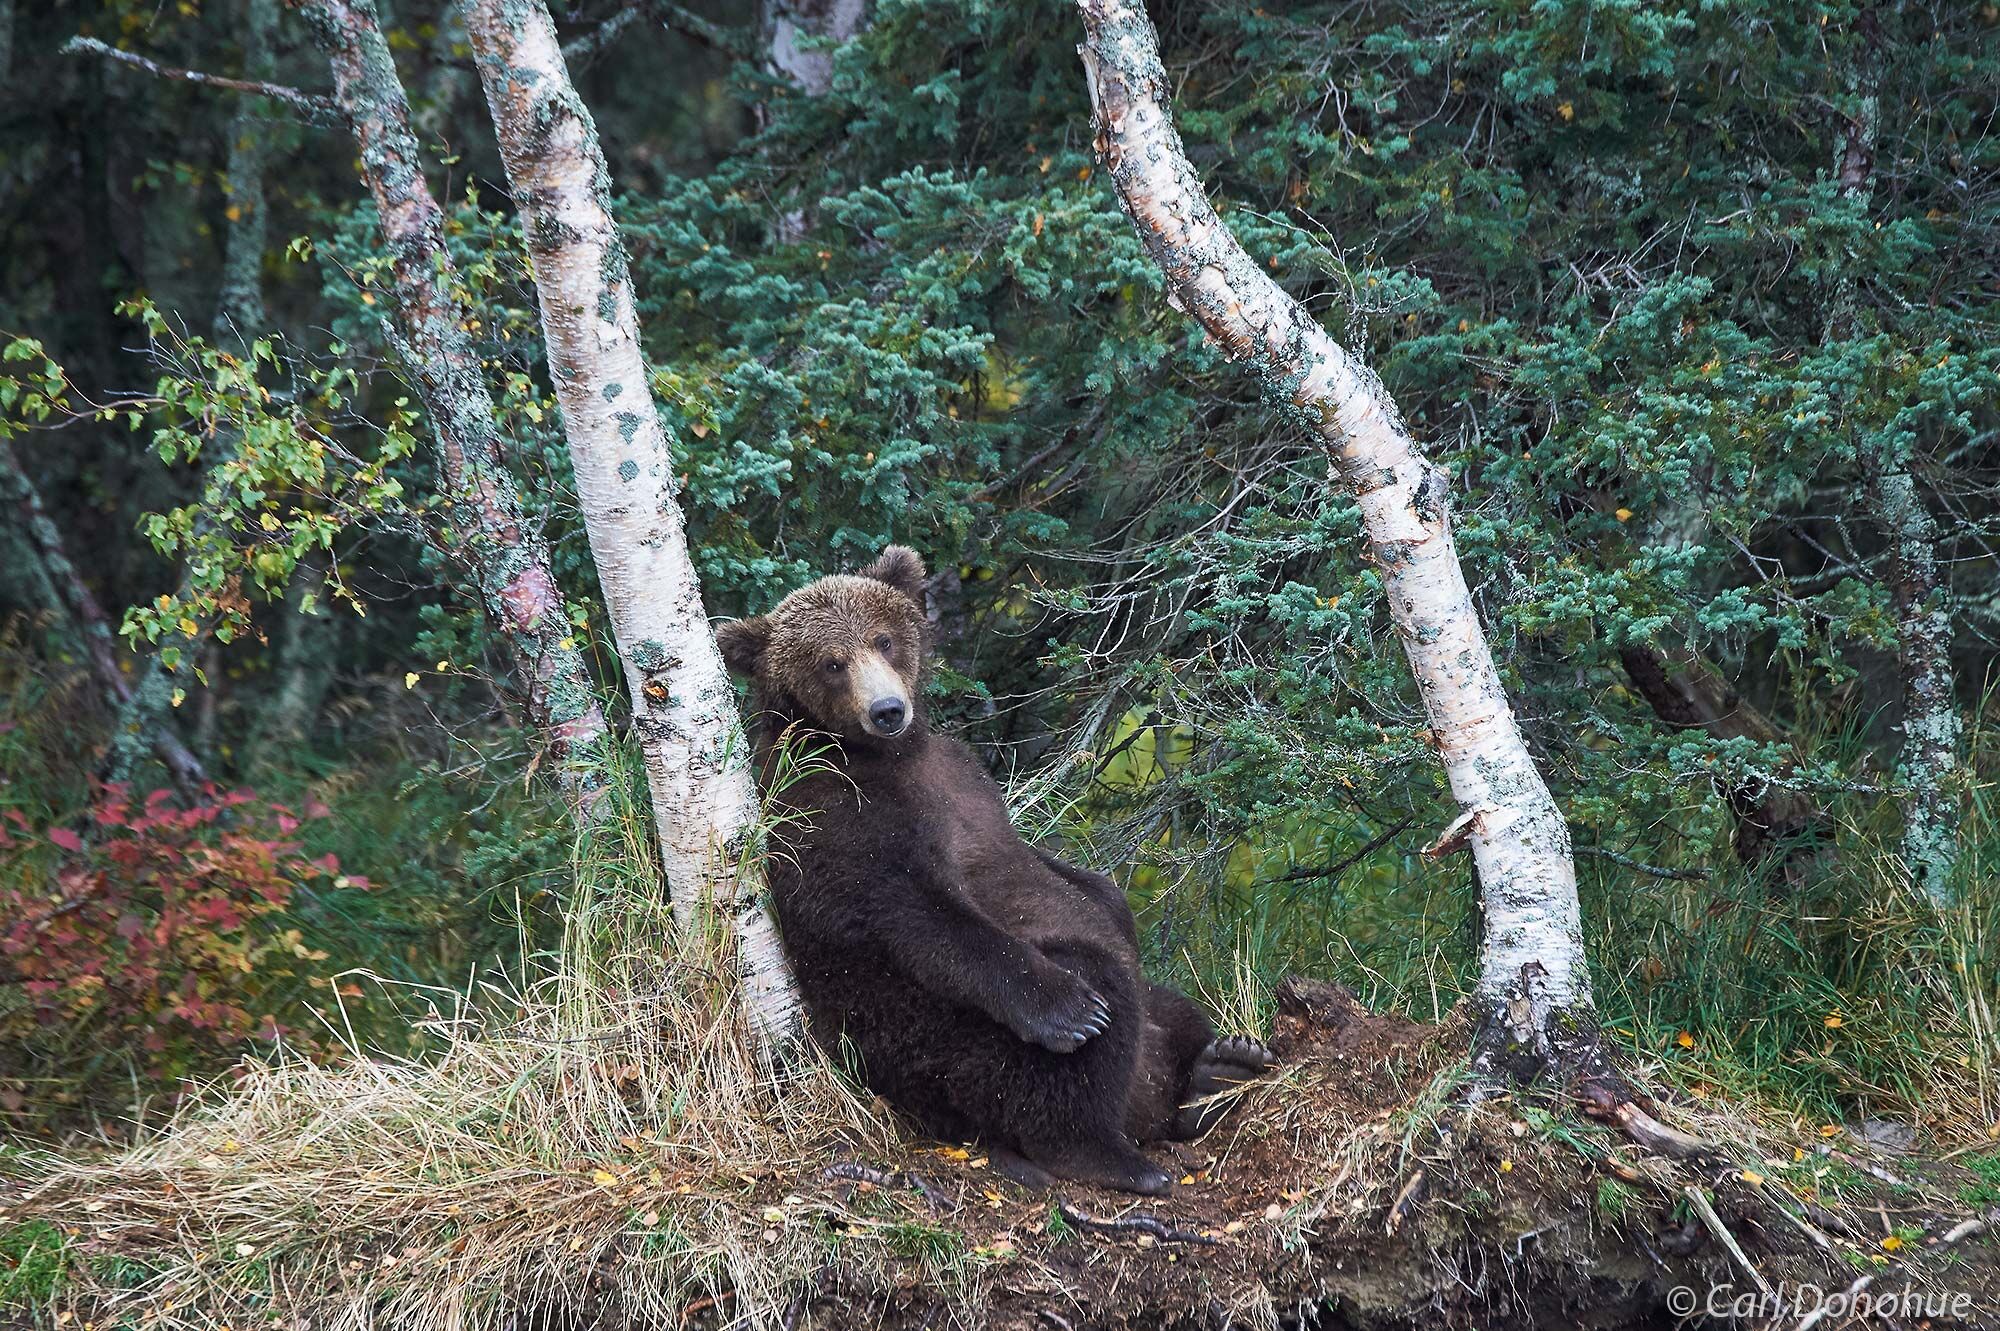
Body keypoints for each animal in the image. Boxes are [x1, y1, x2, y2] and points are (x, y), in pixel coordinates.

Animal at [712, 543, 1264, 1191]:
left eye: (883, 639)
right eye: (831, 662)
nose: (887, 709)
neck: (883, 756)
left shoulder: (964, 777)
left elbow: (1061, 873)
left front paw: (1112, 904)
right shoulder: (835, 814)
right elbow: (916, 912)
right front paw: (1066, 1010)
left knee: (1169, 1008)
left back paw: (1221, 1068)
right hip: (949, 1049)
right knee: (1085, 1008)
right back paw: (1114, 1152)